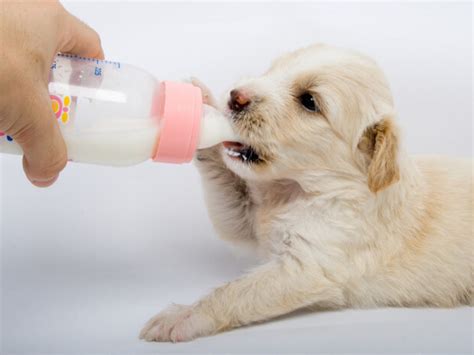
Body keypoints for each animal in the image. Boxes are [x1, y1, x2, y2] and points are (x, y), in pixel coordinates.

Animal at [139, 43, 472, 344]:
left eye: (309, 101)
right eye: (273, 70)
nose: (235, 97)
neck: (295, 190)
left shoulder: (307, 266)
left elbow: (234, 292)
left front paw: (185, 316)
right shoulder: (247, 222)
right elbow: (228, 193)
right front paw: (202, 112)